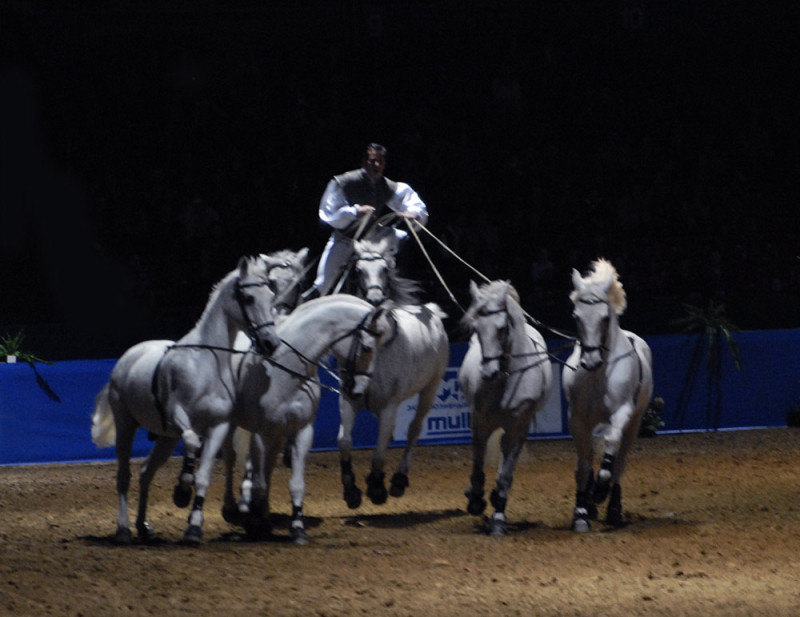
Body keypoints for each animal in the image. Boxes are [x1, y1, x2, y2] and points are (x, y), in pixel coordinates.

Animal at [90, 255, 282, 544]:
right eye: (248, 298)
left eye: (271, 296)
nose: (270, 343)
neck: (207, 364)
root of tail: (128, 356)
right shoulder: (178, 416)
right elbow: (192, 442)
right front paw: (181, 490)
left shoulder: (218, 427)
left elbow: (203, 476)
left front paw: (194, 527)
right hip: (127, 425)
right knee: (124, 476)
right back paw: (123, 529)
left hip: (166, 438)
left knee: (146, 472)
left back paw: (143, 526)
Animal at [223, 292, 390, 540]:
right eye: (367, 347)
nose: (359, 391)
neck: (286, 369)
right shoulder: (261, 433)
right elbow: (259, 480)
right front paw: (255, 523)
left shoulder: (301, 430)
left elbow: (295, 483)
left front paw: (296, 526)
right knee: (230, 458)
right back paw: (231, 508)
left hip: (276, 434)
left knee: (266, 467)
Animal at [334, 236, 450, 506]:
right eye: (358, 270)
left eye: (385, 269)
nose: (375, 300)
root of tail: (432, 311)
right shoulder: (348, 398)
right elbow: (344, 440)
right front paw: (351, 490)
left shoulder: (389, 405)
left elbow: (380, 446)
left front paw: (377, 487)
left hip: (431, 387)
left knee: (414, 429)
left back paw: (399, 480)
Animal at [460, 280, 552, 536]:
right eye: (476, 328)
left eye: (502, 328)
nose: (488, 373)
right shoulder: (480, 422)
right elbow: (477, 464)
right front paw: (475, 499)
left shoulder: (518, 427)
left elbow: (506, 475)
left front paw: (499, 517)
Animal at [564, 258, 652, 532]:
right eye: (576, 316)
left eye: (604, 317)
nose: (590, 361)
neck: (598, 375)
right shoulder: (578, 419)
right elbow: (583, 467)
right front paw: (581, 513)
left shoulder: (622, 413)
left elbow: (609, 456)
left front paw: (600, 492)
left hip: (634, 424)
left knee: (619, 462)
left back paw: (612, 508)